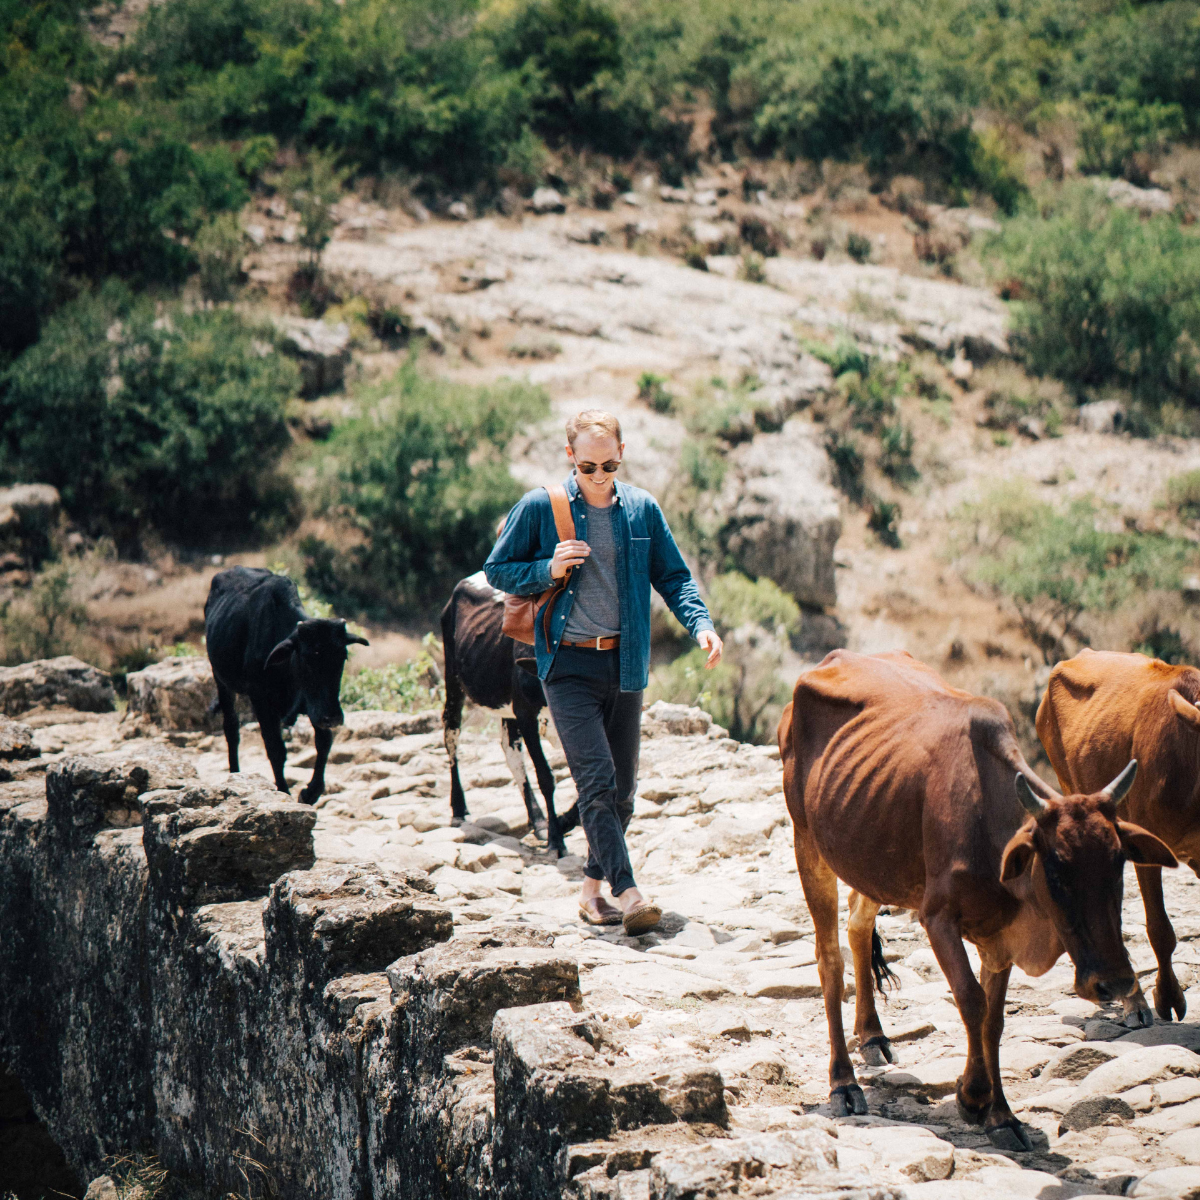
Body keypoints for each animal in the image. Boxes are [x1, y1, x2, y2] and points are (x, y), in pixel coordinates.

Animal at [204, 568, 367, 806]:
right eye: (306, 658)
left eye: (343, 657)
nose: (333, 717)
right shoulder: (261, 701)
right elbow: (275, 748)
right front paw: (283, 791)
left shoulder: (313, 704)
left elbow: (324, 741)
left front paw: (310, 792)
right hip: (221, 679)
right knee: (231, 728)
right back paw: (235, 773)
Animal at [439, 571, 578, 854]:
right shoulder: (526, 713)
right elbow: (546, 776)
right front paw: (556, 841)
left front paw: (564, 822)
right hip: (453, 679)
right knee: (451, 733)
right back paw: (458, 809)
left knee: (510, 751)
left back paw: (539, 821)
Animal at [777, 652, 1171, 1147]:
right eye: (1056, 870)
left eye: (1119, 864)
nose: (1115, 982)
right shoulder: (939, 919)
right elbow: (971, 1001)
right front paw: (974, 1097)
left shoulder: (998, 936)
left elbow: (994, 1019)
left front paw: (1001, 1114)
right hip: (807, 844)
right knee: (829, 958)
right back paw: (844, 1083)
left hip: (870, 859)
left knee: (858, 926)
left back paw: (872, 1036)